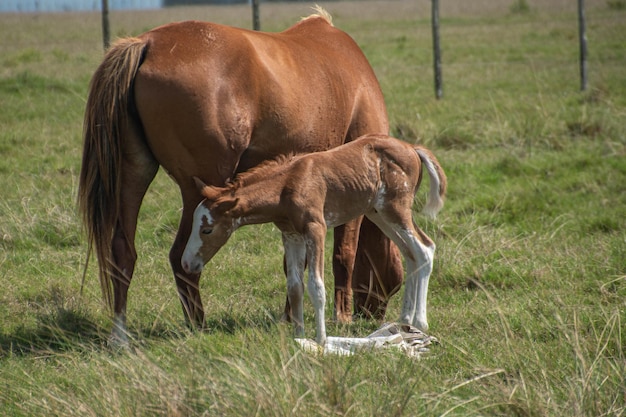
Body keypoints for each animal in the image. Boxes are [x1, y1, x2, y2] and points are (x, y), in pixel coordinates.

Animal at [78, 8, 402, 342]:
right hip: (200, 191)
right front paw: (341, 316)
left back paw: (120, 336)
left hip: (134, 174)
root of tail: (147, 44)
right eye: (396, 282)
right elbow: (344, 254)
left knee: (123, 252)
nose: (372, 315)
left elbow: (294, 266)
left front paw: (290, 316)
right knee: (181, 259)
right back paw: (198, 326)